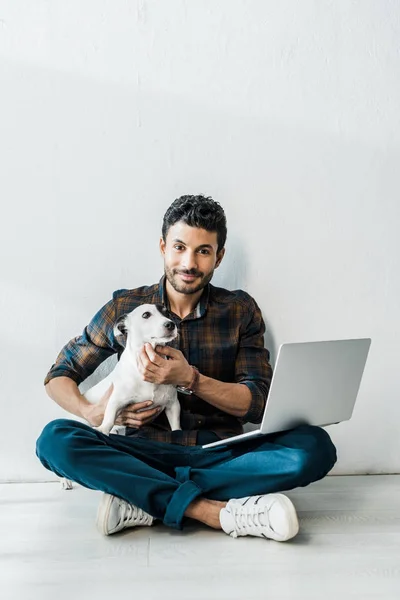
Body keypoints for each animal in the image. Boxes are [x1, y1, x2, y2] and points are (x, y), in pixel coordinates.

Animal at [60, 302, 180, 490]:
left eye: (167, 313)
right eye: (146, 315)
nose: (171, 324)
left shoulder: (173, 404)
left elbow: (176, 426)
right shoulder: (115, 400)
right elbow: (109, 418)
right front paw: (103, 429)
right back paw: (64, 479)